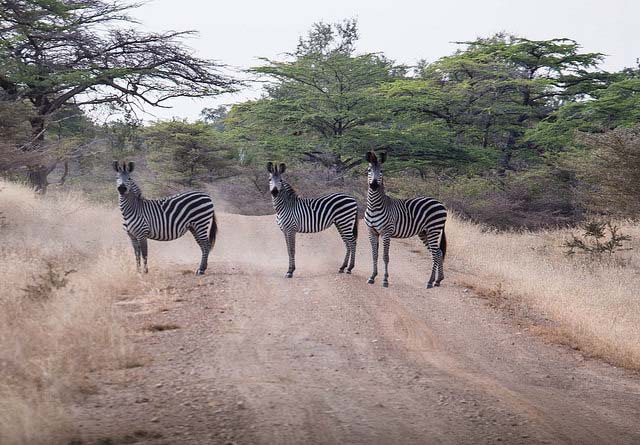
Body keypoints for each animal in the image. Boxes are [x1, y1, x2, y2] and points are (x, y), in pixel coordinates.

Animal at [362, 150, 448, 288]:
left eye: (382, 171)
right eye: (369, 170)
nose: (374, 185)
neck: (374, 206)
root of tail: (440, 204)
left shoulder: (386, 232)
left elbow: (385, 256)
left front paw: (385, 280)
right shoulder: (372, 232)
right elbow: (374, 255)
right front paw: (372, 277)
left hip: (433, 230)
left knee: (435, 253)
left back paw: (430, 282)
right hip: (424, 232)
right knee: (438, 252)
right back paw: (438, 280)